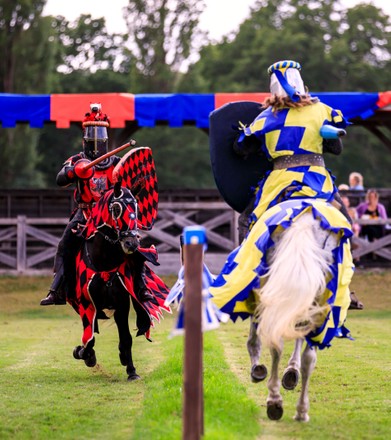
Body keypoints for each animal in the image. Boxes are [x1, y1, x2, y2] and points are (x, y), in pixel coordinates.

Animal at [69, 180, 171, 380]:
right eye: (116, 208)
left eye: (137, 209)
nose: (132, 243)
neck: (103, 260)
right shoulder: (86, 304)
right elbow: (89, 338)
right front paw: (84, 354)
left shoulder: (122, 304)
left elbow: (126, 338)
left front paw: (131, 369)